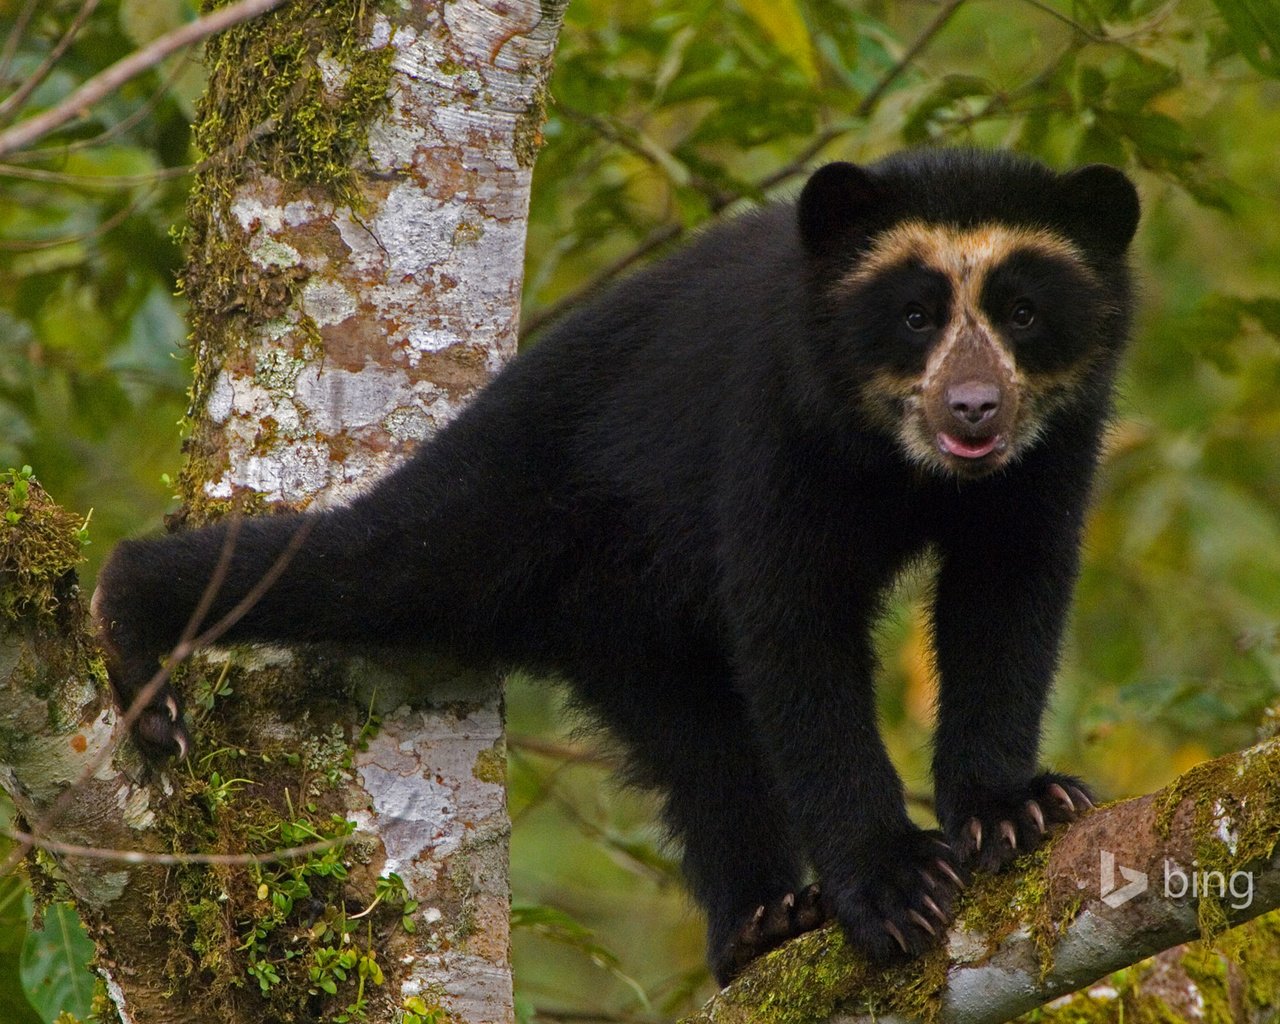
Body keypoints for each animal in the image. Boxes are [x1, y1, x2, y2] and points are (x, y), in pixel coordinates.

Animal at [97, 147, 1141, 988]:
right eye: (917, 316)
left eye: (1023, 312)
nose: (975, 409)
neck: (901, 459)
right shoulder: (772, 421)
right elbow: (794, 627)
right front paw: (893, 885)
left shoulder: (1051, 452)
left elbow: (1008, 594)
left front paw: (1019, 808)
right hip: (515, 497)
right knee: (365, 562)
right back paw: (134, 628)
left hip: (630, 626)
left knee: (705, 751)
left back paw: (760, 925)